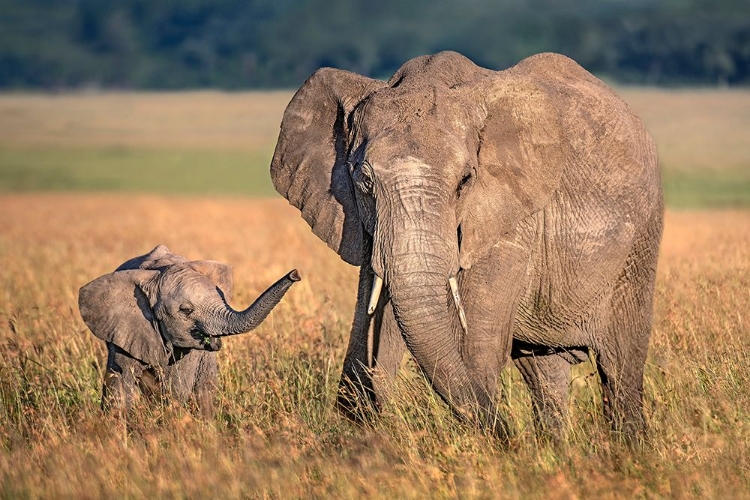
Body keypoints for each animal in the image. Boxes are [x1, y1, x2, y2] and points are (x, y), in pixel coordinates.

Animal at [270, 51, 664, 442]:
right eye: (363, 181)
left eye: (465, 181)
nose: (511, 435)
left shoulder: (509, 219)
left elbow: (471, 348)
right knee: (544, 370)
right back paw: (552, 447)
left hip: (638, 249)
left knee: (620, 365)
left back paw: (628, 448)